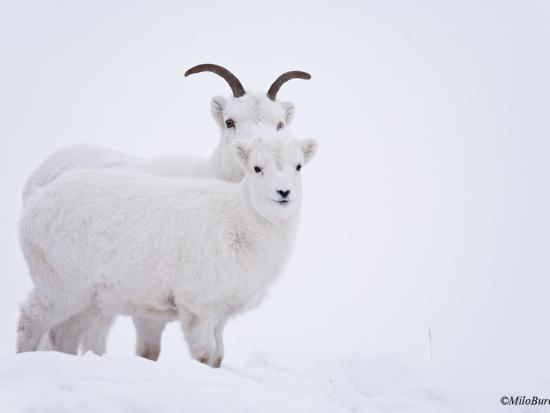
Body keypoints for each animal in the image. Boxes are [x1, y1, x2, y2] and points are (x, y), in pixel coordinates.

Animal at [21, 64, 312, 358]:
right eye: (230, 121)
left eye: (280, 124)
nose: (254, 147)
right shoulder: (159, 307)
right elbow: (152, 351)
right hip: (63, 286)